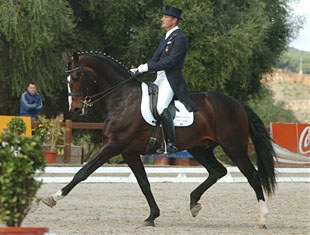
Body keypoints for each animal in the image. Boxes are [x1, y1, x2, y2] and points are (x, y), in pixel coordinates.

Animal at [41, 51, 276, 228]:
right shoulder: (129, 152)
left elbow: (83, 172)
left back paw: (263, 218)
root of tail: (237, 104)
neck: (122, 99)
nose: (75, 109)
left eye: (76, 78)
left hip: (234, 147)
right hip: (200, 148)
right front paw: (152, 216)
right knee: (218, 171)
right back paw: (194, 203)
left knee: (253, 176)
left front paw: (53, 197)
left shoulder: (112, 146)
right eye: (67, 79)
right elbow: (144, 184)